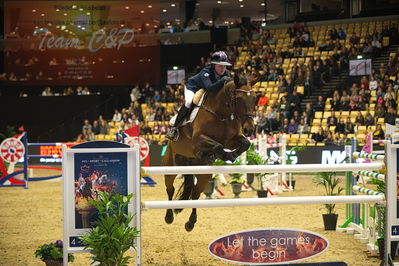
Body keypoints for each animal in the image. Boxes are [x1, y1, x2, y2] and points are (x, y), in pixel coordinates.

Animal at [162, 73, 256, 231]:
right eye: (239, 99)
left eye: (254, 98)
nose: (249, 129)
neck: (222, 113)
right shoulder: (198, 139)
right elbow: (217, 146)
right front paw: (223, 154)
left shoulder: (231, 141)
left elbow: (244, 144)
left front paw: (229, 155)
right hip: (171, 166)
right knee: (170, 189)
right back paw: (169, 217)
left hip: (203, 174)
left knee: (195, 194)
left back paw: (190, 223)